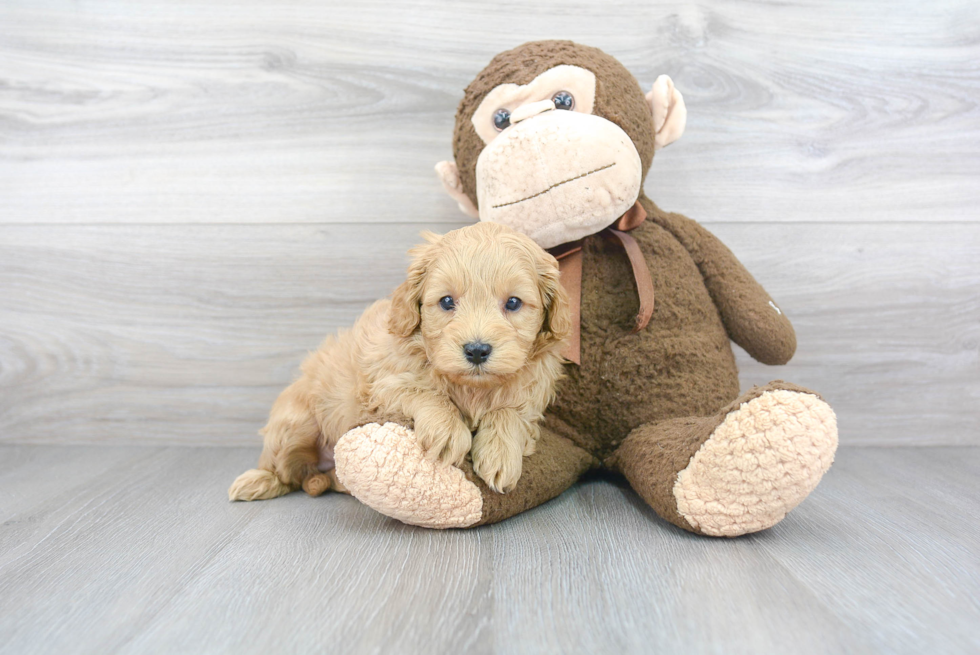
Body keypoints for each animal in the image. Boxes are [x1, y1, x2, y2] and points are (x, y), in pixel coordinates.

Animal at [227, 222, 572, 502]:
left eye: (513, 303)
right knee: (285, 471)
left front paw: (500, 454)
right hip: (294, 424)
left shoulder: (532, 393)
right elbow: (426, 392)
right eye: (447, 301)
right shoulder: (381, 386)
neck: (471, 388)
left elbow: (510, 411)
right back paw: (257, 481)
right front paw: (448, 430)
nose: (476, 350)